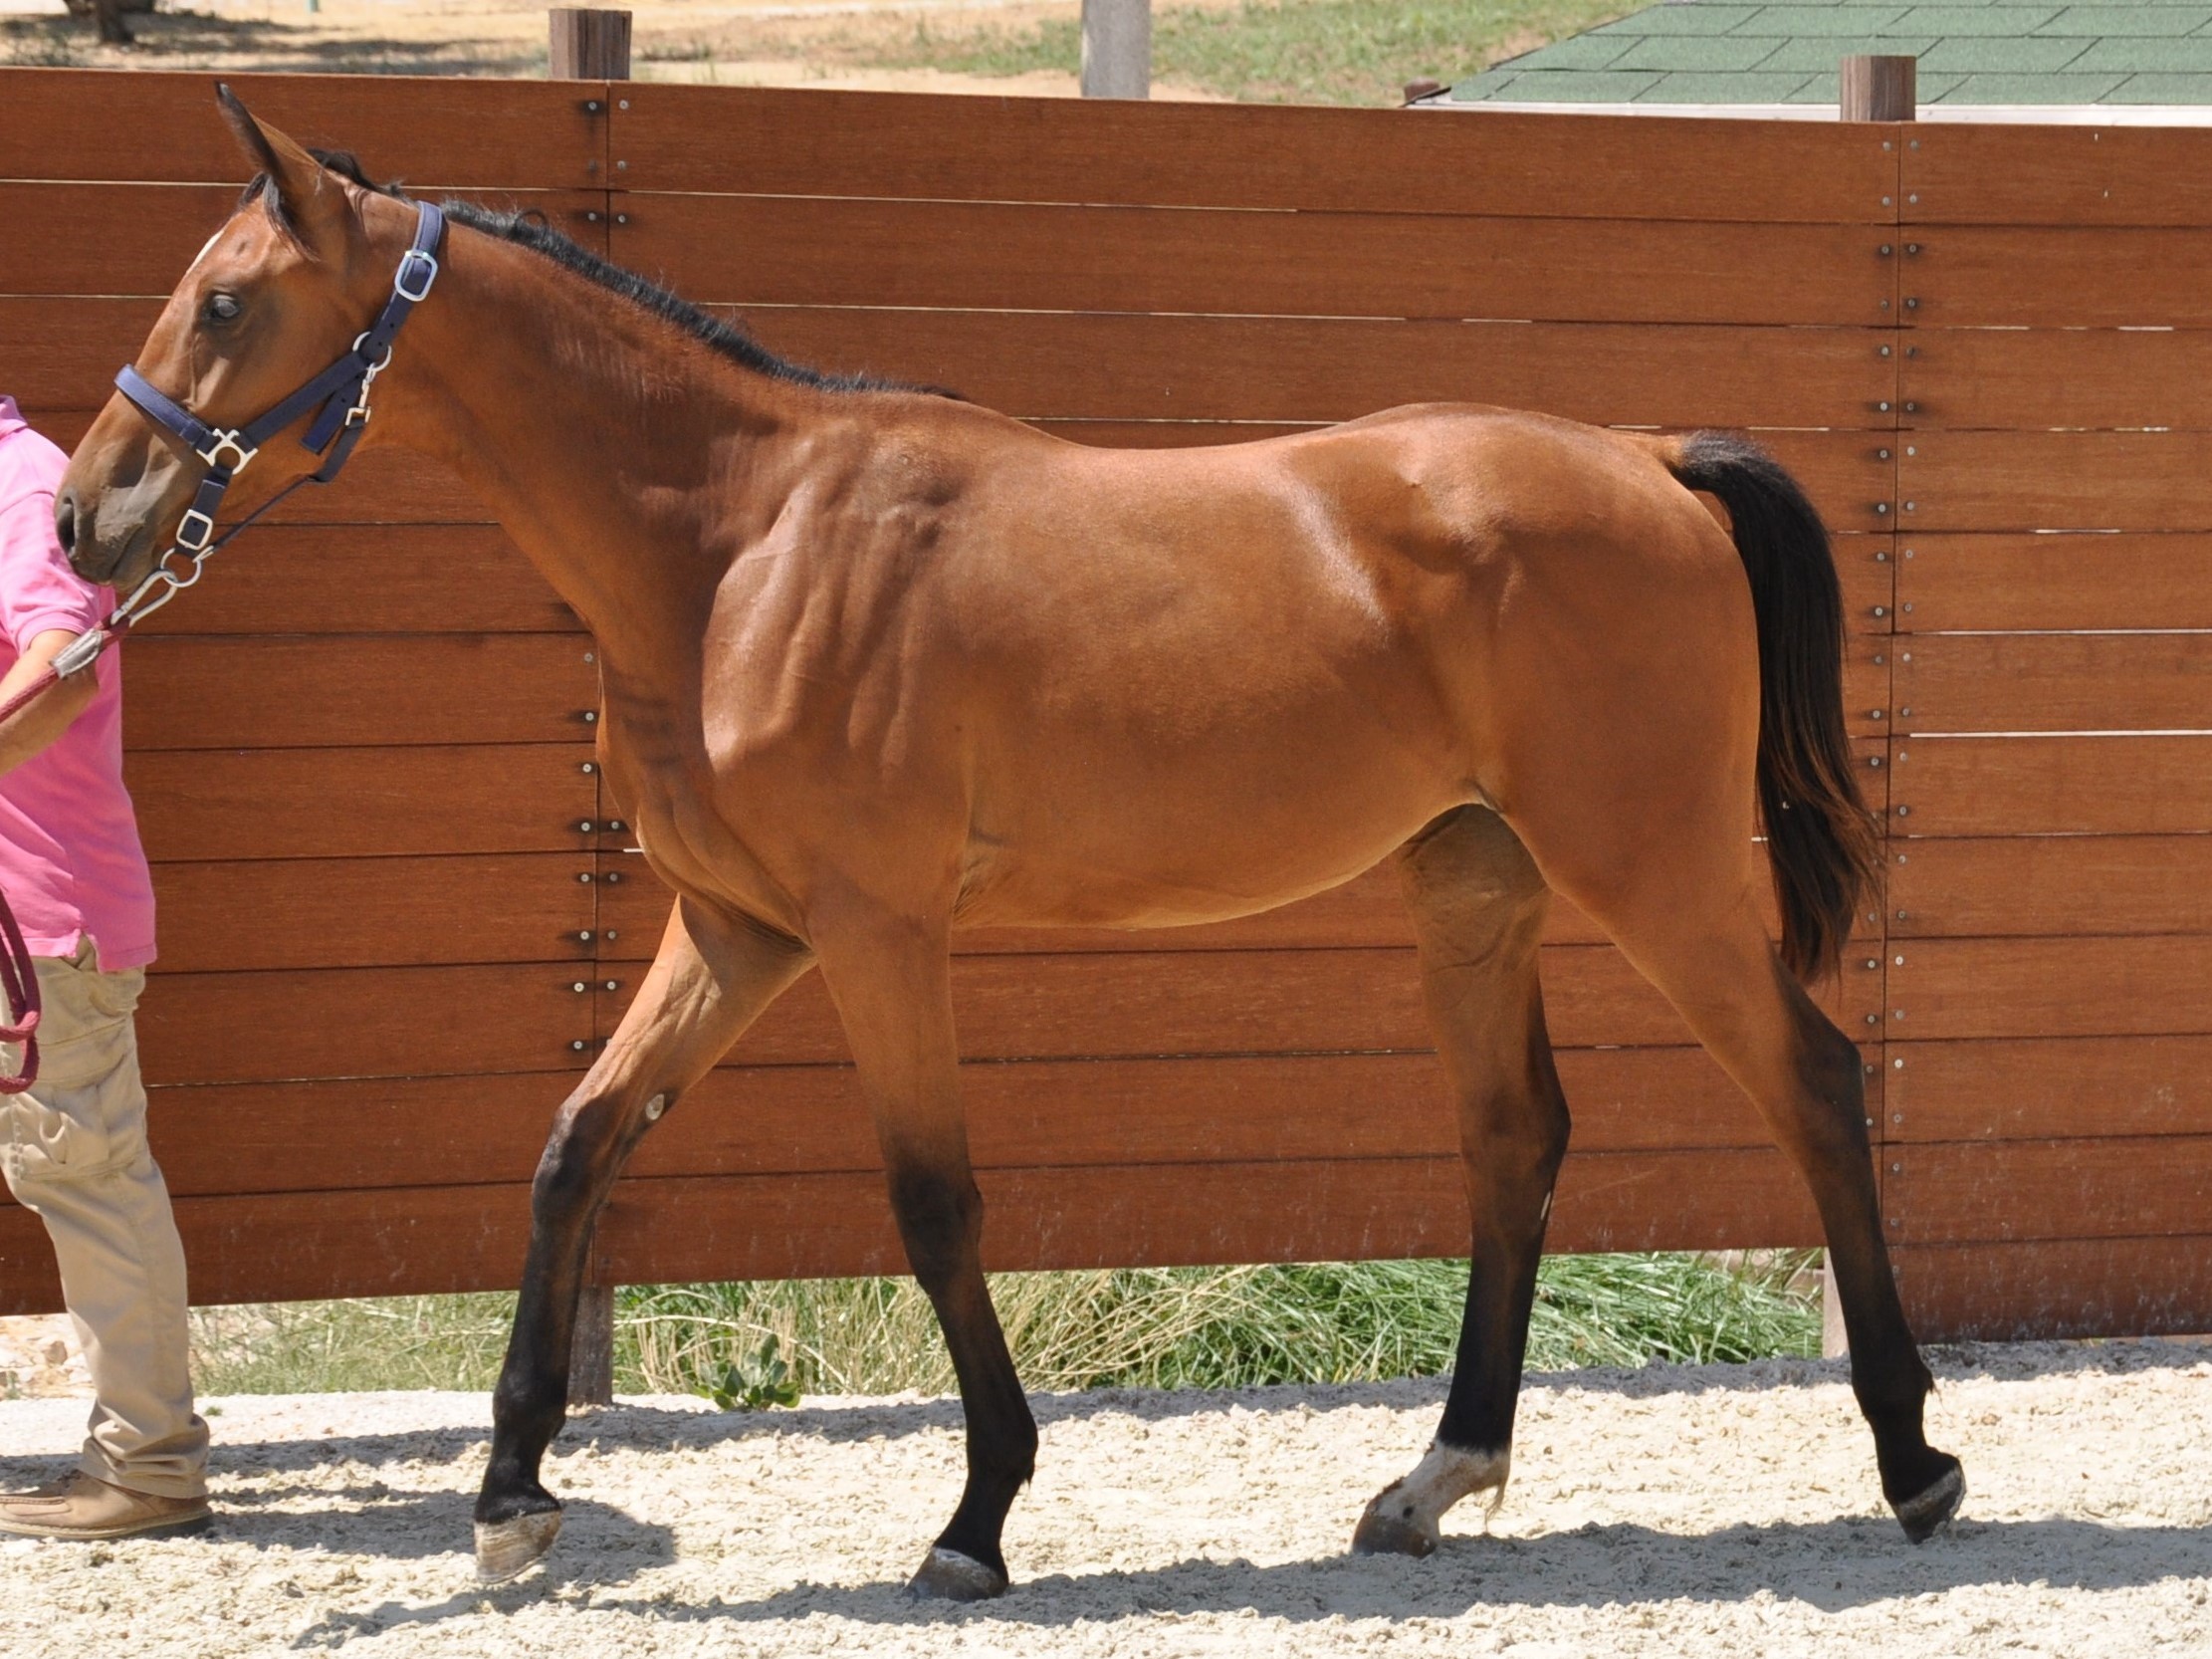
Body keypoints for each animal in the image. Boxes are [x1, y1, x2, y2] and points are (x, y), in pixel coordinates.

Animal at [57, 90, 1963, 1597]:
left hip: (1652, 872)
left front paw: (975, 1515)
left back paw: (1913, 1464)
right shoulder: (733, 931)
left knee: (1810, 1079)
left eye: (226, 299)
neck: (739, 544)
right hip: (1472, 888)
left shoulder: (875, 931)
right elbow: (576, 1148)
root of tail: (1646, 457)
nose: (89, 515)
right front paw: (513, 1498)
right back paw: (1435, 1480)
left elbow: (934, 1200)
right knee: (1515, 1138)